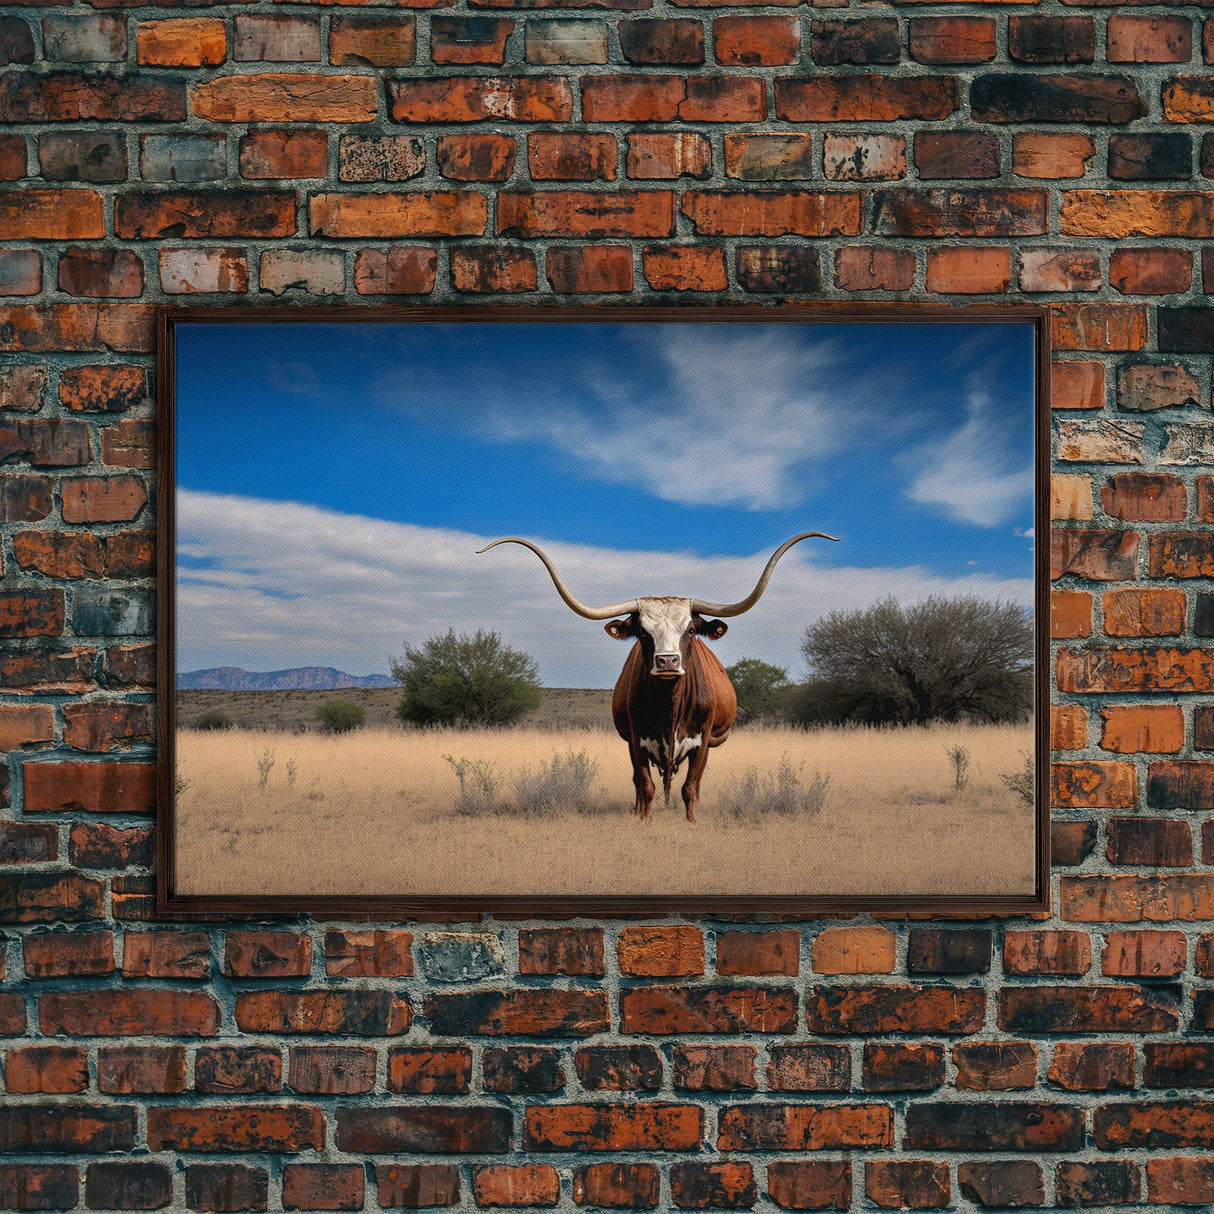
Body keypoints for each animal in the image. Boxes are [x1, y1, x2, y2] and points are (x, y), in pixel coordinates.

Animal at [477, 533, 839, 823]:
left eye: (690, 630)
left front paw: (692, 822)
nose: (667, 661)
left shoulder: (701, 742)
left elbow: (690, 787)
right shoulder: (637, 740)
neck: (671, 706)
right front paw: (644, 820)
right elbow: (646, 785)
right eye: (642, 632)